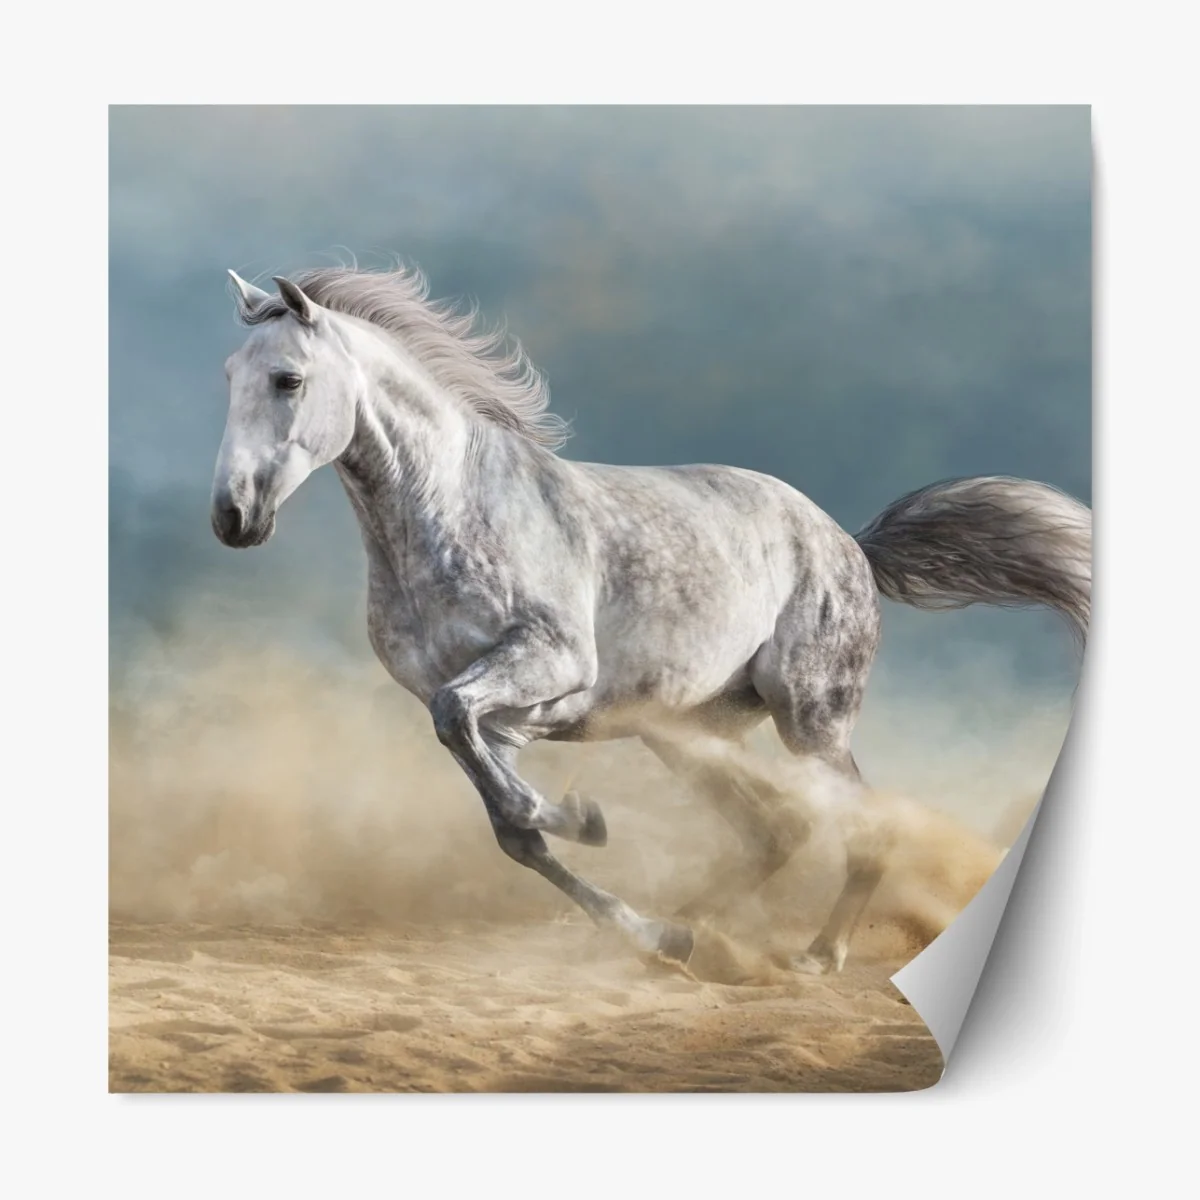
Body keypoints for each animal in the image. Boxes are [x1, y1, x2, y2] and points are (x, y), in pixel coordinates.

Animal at [210, 263, 1091, 974]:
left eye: (287, 379)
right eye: (227, 376)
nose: (232, 517)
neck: (449, 511)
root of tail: (848, 544)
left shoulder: (548, 667)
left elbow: (479, 748)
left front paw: (582, 818)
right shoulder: (497, 716)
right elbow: (508, 821)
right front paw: (635, 911)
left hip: (811, 719)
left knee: (861, 822)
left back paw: (818, 954)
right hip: (687, 732)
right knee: (775, 829)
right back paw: (690, 931)